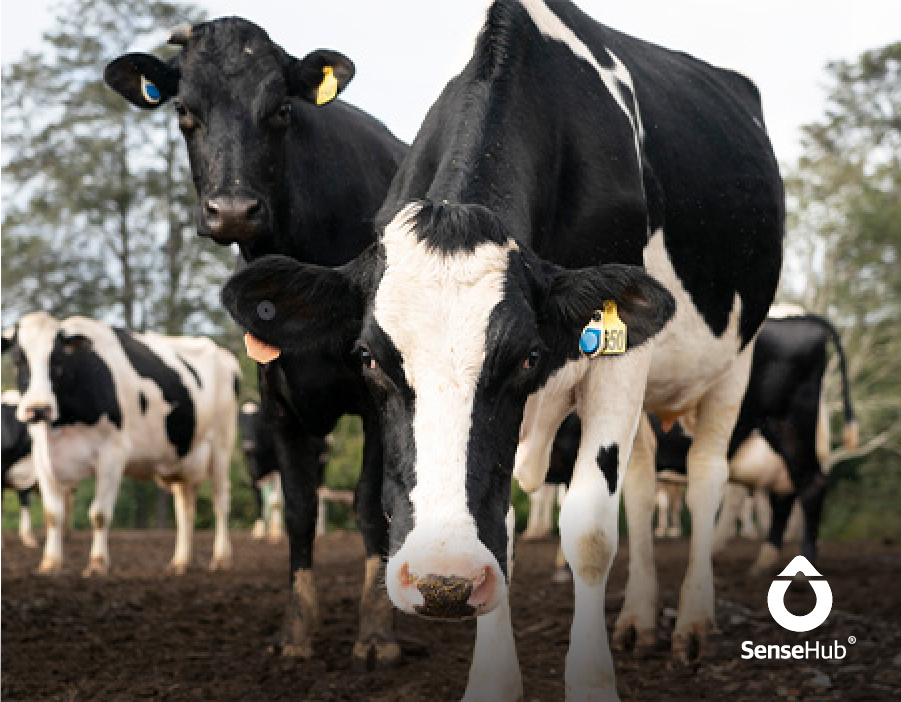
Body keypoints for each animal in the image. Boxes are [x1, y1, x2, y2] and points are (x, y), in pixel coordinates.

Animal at [1, 314, 239, 576]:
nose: (38, 409)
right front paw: (50, 563)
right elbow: (53, 515)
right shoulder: (44, 458)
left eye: (58, 359)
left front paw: (97, 564)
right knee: (185, 510)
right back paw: (180, 562)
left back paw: (221, 558)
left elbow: (99, 514)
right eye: (18, 358)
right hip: (183, 460)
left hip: (221, 445)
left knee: (221, 502)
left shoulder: (111, 455)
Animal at [103, 15, 406, 664]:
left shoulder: (376, 396)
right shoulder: (278, 400)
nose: (234, 209)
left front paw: (376, 631)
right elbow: (297, 510)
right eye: (184, 111)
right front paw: (295, 631)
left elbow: (371, 507)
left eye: (281, 109)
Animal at [220, 2, 780, 700]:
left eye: (527, 358)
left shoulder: (617, 362)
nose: (442, 581)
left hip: (736, 361)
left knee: (704, 482)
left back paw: (693, 625)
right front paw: (491, 677)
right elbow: (505, 525)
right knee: (647, 486)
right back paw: (640, 620)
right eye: (370, 359)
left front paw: (592, 680)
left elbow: (590, 530)